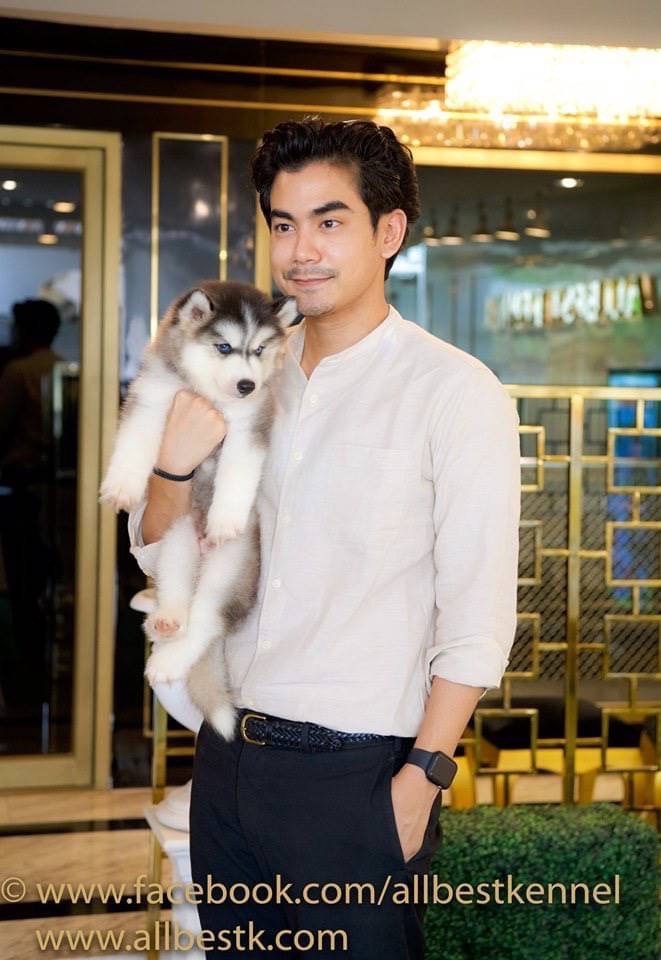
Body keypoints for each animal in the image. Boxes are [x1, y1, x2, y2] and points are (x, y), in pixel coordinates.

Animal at [100, 280, 295, 738]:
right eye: (224, 347)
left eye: (260, 349)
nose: (247, 385)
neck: (208, 395)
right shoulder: (153, 400)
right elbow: (134, 442)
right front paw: (122, 485)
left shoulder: (248, 426)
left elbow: (238, 471)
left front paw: (225, 518)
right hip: (177, 538)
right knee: (177, 588)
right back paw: (167, 619)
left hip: (233, 568)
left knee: (206, 620)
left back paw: (169, 657)